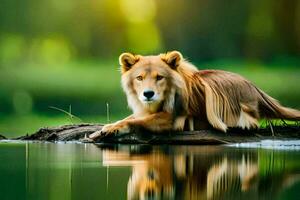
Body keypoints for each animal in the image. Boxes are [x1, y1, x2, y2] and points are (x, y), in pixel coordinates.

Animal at [89, 50, 300, 138]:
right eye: (139, 78)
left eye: (160, 77)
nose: (148, 94)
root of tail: (255, 88)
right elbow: (129, 117)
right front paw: (109, 126)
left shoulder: (173, 119)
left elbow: (136, 121)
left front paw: (111, 129)